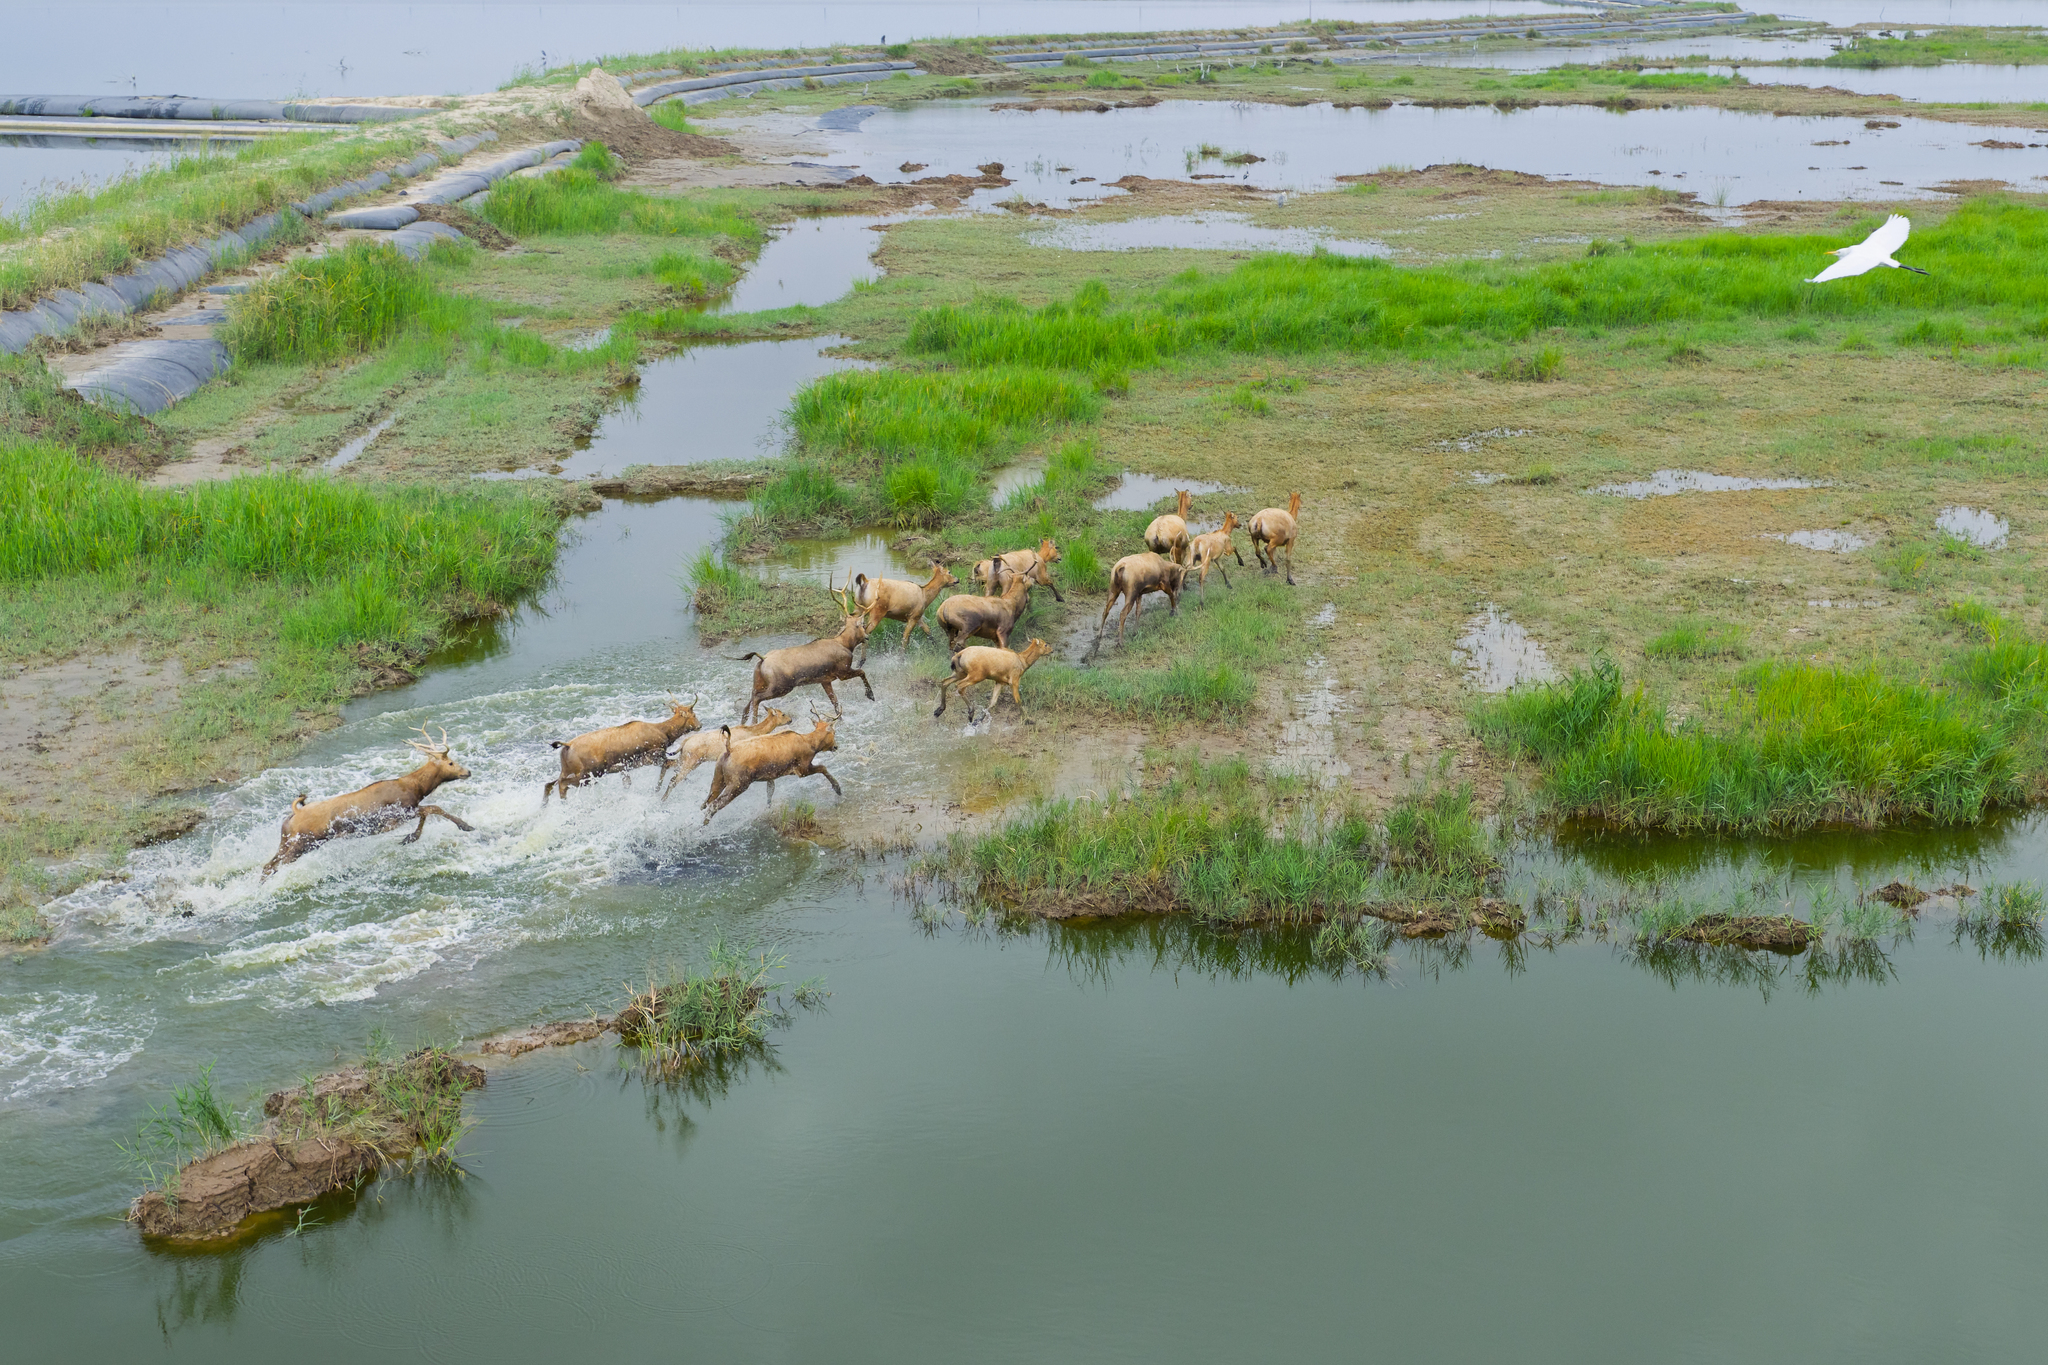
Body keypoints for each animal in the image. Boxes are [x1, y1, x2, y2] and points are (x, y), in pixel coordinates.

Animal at [261, 726, 474, 878]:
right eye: (451, 763)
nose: (468, 771)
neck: (416, 789)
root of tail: (294, 814)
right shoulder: (395, 816)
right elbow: (432, 808)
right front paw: (465, 825)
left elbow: (427, 812)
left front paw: (410, 838)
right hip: (303, 843)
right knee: (274, 866)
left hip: (288, 842)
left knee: (268, 865)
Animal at [542, 696, 700, 804]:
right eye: (693, 714)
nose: (700, 725)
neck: (665, 733)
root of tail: (566, 745)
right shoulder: (653, 757)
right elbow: (669, 768)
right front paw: (658, 789)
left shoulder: (627, 767)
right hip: (589, 774)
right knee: (561, 785)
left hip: (569, 771)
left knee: (549, 784)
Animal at [658, 707, 791, 799]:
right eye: (783, 714)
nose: (790, 719)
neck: (753, 732)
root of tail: (684, 743)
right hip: (692, 761)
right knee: (674, 779)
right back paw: (663, 799)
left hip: (684, 758)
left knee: (667, 764)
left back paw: (657, 789)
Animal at [701, 715, 842, 825]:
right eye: (834, 732)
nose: (836, 746)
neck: (811, 745)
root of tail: (728, 749)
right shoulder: (802, 768)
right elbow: (823, 767)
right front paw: (838, 788)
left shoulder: (771, 775)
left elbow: (770, 793)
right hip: (739, 783)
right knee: (713, 805)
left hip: (719, 777)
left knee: (705, 802)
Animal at [733, 573, 873, 723]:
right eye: (862, 625)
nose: (867, 637)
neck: (846, 644)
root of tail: (762, 659)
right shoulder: (842, 671)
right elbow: (862, 672)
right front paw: (870, 695)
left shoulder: (825, 680)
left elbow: (835, 702)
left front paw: (839, 720)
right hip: (781, 686)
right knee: (757, 699)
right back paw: (755, 723)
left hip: (759, 682)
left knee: (748, 702)